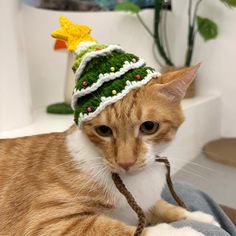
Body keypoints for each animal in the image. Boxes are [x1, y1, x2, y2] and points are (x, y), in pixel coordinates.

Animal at [0, 65, 218, 236]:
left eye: (149, 127)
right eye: (103, 130)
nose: (125, 163)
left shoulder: (145, 200)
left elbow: (163, 206)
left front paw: (197, 216)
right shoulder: (47, 221)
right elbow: (115, 228)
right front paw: (183, 231)